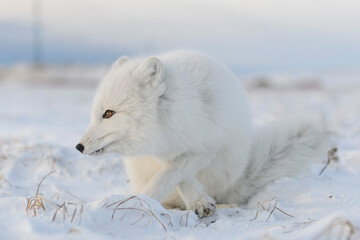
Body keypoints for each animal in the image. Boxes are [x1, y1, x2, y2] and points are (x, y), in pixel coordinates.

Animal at [77, 51, 328, 218]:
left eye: (108, 113)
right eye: (94, 114)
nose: (79, 147)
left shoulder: (205, 148)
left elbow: (169, 176)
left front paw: (141, 202)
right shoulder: (165, 151)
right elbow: (178, 177)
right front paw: (197, 201)